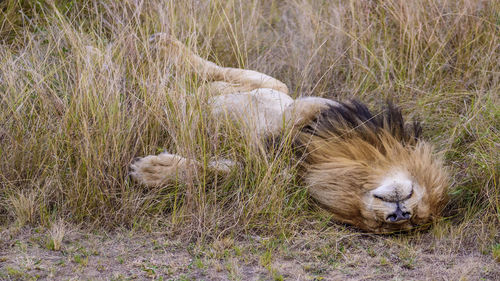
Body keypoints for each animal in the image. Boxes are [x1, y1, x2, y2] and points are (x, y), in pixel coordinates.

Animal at [131, 34, 452, 232]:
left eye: (410, 222)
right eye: (416, 197)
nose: (400, 215)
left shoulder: (264, 169)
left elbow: (217, 171)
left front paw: (151, 171)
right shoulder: (283, 95)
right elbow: (279, 93)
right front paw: (164, 47)